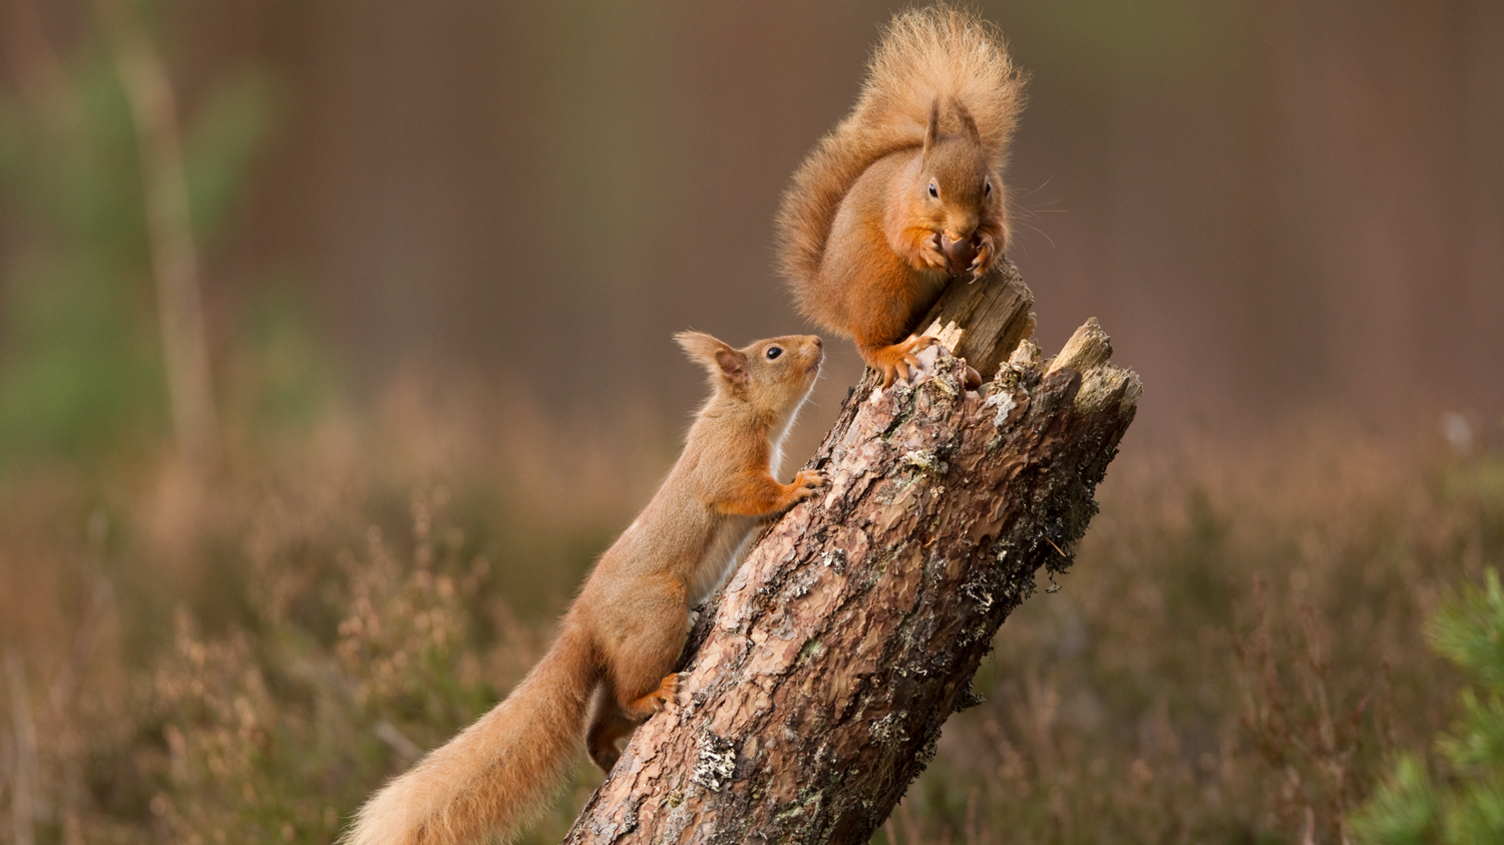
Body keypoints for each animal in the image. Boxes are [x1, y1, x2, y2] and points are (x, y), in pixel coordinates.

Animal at [342, 331, 826, 845]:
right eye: (773, 352)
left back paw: (608, 752)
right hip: (657, 619)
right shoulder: (725, 466)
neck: (741, 413)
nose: (817, 340)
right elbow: (750, 493)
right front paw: (797, 487)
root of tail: (585, 622)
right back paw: (652, 698)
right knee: (628, 695)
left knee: (600, 723)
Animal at [775, 5, 1026, 388]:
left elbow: (999, 233)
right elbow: (903, 238)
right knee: (868, 342)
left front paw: (985, 250)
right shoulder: (896, 208)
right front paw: (927, 250)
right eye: (932, 190)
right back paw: (892, 353)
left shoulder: (996, 211)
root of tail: (831, 297)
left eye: (987, 187)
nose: (964, 229)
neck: (911, 179)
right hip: (882, 280)